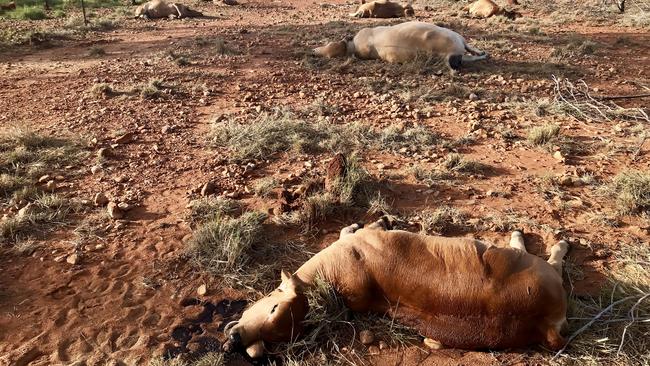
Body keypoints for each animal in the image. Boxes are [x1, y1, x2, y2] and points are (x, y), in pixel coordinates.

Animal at [223, 217, 568, 358]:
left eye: (273, 306)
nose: (236, 340)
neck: (330, 281)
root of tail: (545, 324)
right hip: (531, 264)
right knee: (552, 259)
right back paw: (546, 240)